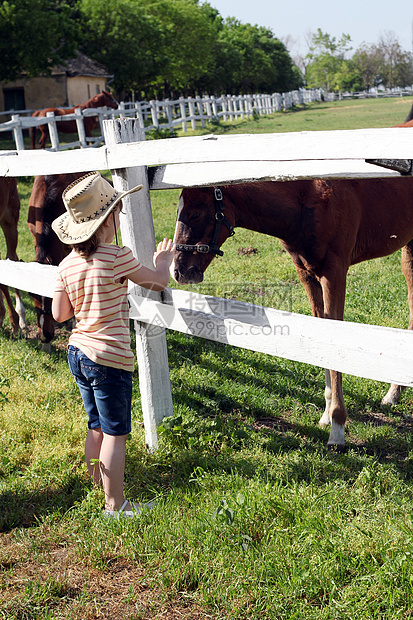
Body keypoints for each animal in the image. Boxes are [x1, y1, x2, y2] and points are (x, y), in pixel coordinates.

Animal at [171, 176, 413, 450]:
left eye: (195, 213)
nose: (178, 271)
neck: (306, 198)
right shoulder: (306, 273)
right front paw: (326, 415)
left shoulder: (335, 272)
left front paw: (338, 428)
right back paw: (394, 393)